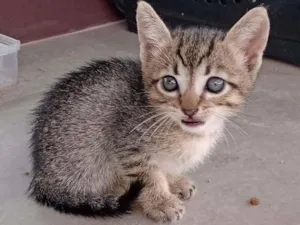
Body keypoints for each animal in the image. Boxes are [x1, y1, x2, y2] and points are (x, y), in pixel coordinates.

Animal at [28, 1, 270, 223]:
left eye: (215, 84)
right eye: (169, 83)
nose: (189, 109)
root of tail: (41, 179)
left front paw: (174, 180)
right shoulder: (128, 145)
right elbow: (148, 175)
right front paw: (160, 202)